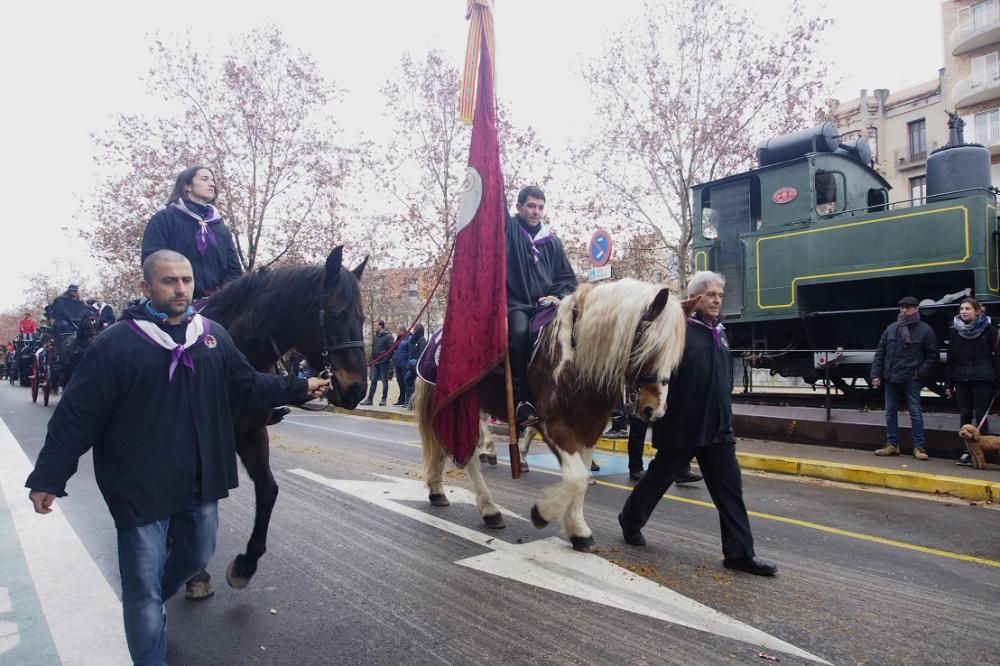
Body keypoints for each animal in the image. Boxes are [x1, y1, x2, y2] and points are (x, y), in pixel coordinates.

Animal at [191, 246, 368, 588]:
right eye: (336, 314)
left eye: (363, 318)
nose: (357, 389)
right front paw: (193, 571)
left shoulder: (251, 434)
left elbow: (268, 490)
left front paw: (246, 564)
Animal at [414, 276, 696, 548]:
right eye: (650, 347)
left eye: (675, 356)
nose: (654, 410)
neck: (575, 359)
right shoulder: (553, 425)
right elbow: (576, 477)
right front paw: (543, 512)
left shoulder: (588, 430)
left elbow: (581, 479)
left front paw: (578, 530)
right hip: (462, 407)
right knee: (467, 455)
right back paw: (489, 508)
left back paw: (438, 490)